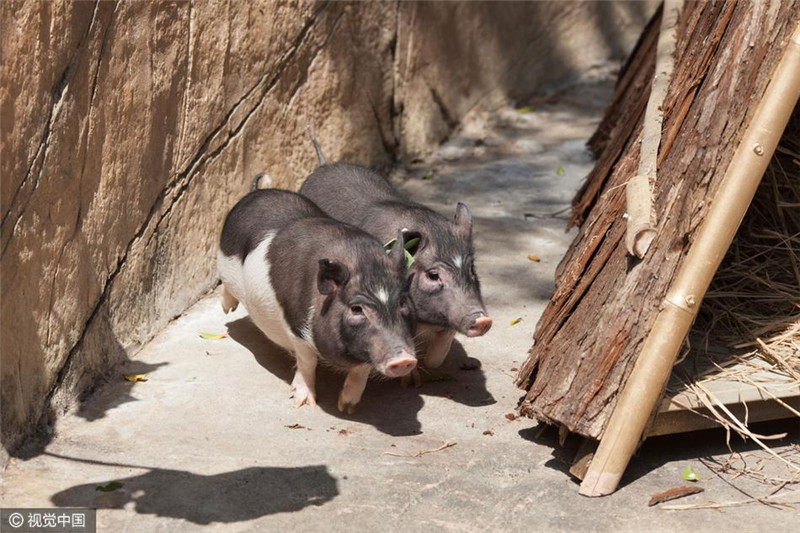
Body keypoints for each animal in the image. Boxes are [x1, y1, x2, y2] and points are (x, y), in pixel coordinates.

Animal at [219, 186, 418, 412]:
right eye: (356, 308)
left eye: (402, 302)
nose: (403, 359)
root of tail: (257, 192)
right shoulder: (296, 328)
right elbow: (308, 361)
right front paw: (303, 403)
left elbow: (362, 369)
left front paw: (346, 407)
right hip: (225, 264)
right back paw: (227, 310)